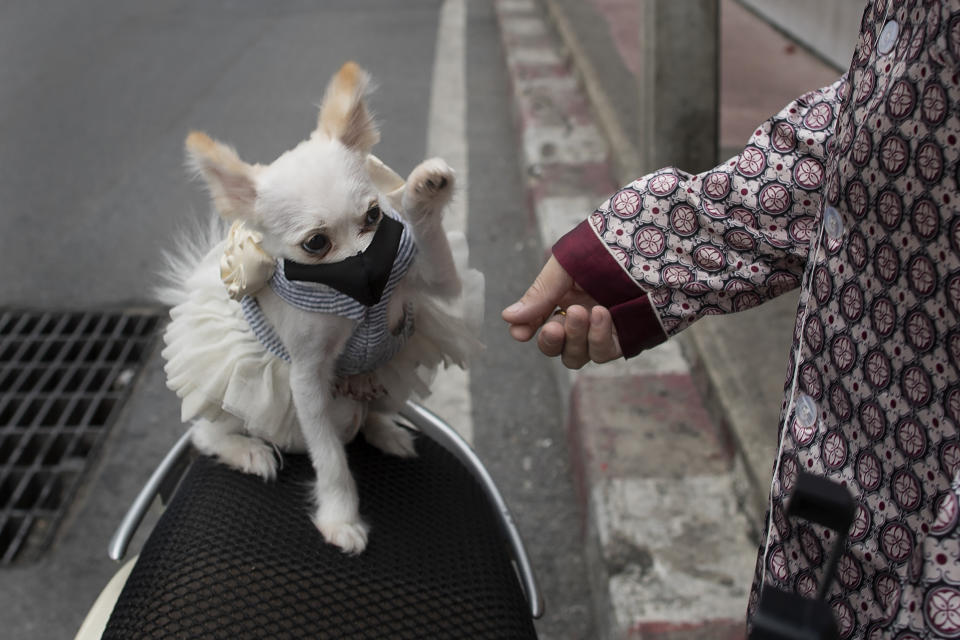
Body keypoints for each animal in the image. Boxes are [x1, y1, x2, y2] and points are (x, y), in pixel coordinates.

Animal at [162, 62, 488, 552]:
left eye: (374, 217)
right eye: (316, 244)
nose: (372, 267)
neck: (357, 296)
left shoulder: (435, 281)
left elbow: (433, 252)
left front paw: (423, 191)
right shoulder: (307, 379)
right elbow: (331, 456)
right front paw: (340, 517)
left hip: (391, 376)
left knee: (374, 408)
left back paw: (386, 431)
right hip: (232, 404)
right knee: (205, 433)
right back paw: (247, 451)